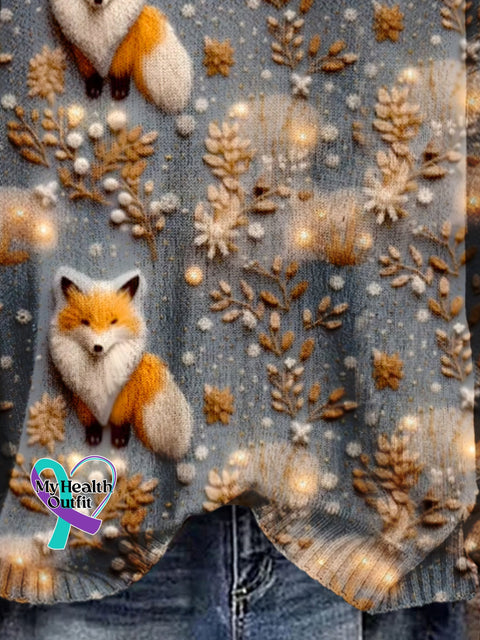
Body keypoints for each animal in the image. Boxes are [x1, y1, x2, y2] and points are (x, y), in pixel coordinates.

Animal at [49, 267, 193, 459]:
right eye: (85, 322)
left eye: (113, 322)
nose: (98, 347)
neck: (100, 372)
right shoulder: (82, 398)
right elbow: (91, 423)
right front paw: (93, 438)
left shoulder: (124, 397)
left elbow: (120, 421)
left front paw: (119, 440)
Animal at [50, 0, 193, 112]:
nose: (98, 1)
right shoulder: (81, 51)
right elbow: (91, 74)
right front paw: (94, 89)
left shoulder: (123, 46)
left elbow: (120, 71)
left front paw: (120, 91)